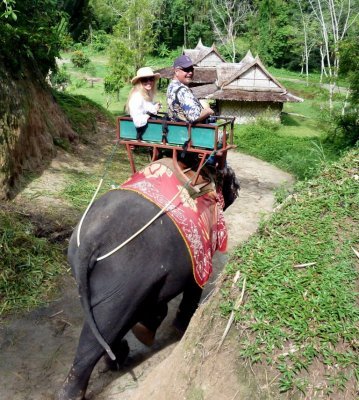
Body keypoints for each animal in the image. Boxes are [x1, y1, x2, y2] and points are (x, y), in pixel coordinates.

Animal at [57, 162, 240, 400]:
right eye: (231, 178)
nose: (238, 187)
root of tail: (91, 241)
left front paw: (145, 330)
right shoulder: (202, 250)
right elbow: (194, 286)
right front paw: (179, 329)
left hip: (97, 271)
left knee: (104, 322)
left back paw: (118, 357)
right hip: (125, 276)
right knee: (105, 327)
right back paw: (74, 392)